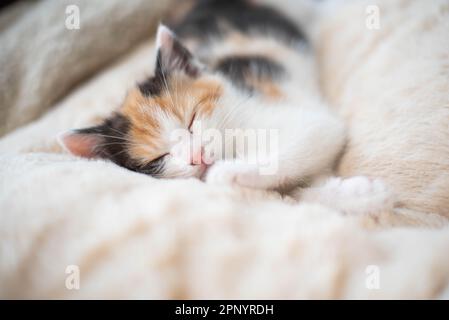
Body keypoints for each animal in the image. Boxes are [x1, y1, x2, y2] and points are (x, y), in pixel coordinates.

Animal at [60, 0, 392, 215]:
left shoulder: (298, 116)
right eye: (157, 159)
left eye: (191, 118)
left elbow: (307, 139)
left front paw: (225, 172)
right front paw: (362, 195)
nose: (196, 156)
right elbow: (298, 193)